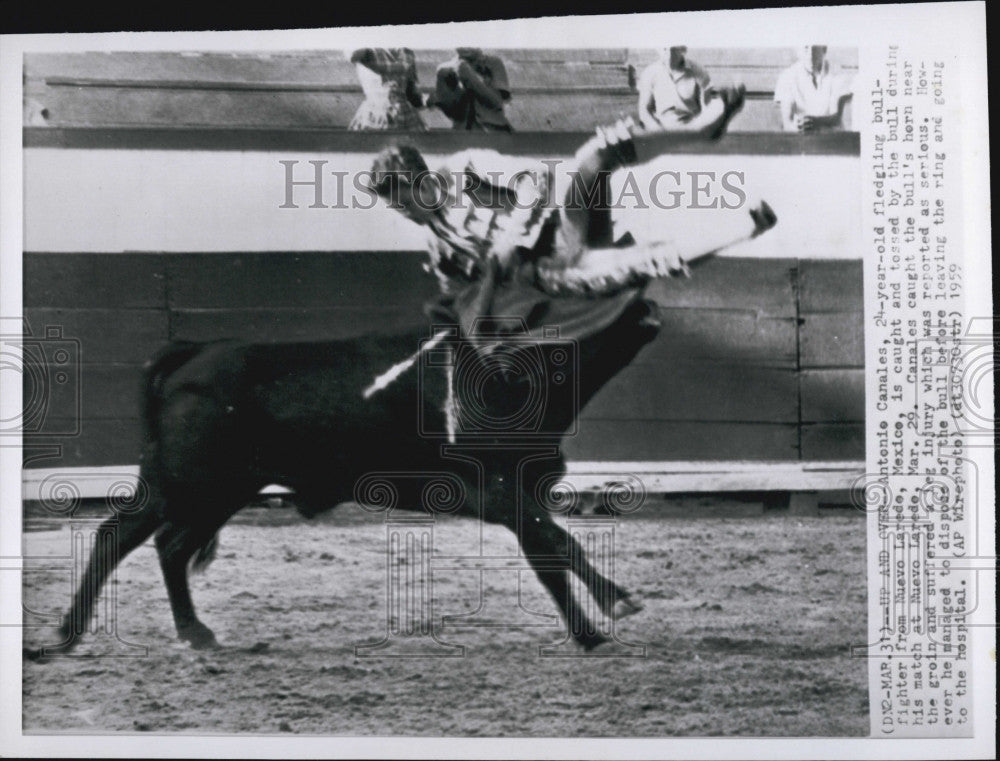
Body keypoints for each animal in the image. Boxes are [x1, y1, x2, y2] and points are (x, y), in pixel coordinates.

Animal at [27, 298, 660, 660]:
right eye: (555, 353)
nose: (646, 312)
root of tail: (193, 350)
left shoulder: (518, 495)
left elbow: (548, 557)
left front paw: (589, 632)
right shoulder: (500, 492)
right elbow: (559, 543)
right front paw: (617, 604)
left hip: (205, 489)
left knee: (158, 544)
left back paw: (177, 633)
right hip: (187, 484)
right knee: (124, 539)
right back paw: (76, 635)